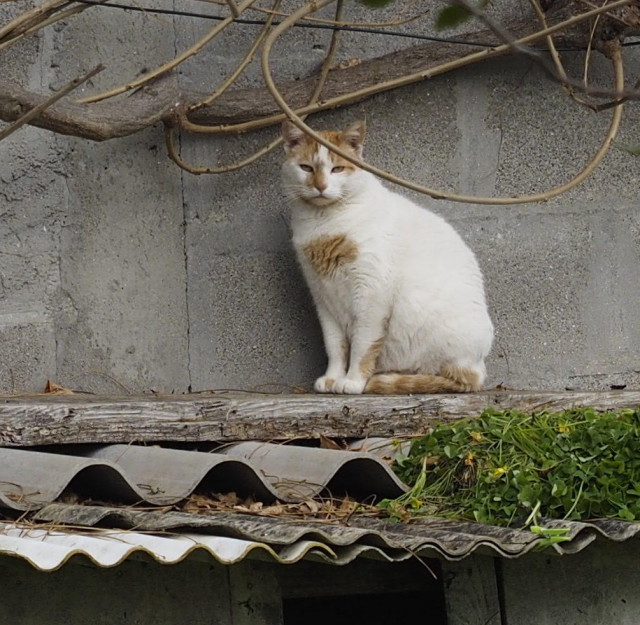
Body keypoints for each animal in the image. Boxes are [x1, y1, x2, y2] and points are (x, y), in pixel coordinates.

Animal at [280, 120, 496, 394]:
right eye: (306, 167)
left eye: (337, 169)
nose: (320, 186)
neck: (323, 223)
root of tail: (479, 365)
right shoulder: (323, 300)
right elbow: (335, 346)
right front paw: (332, 378)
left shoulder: (371, 295)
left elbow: (361, 345)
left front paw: (352, 381)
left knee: (452, 379)